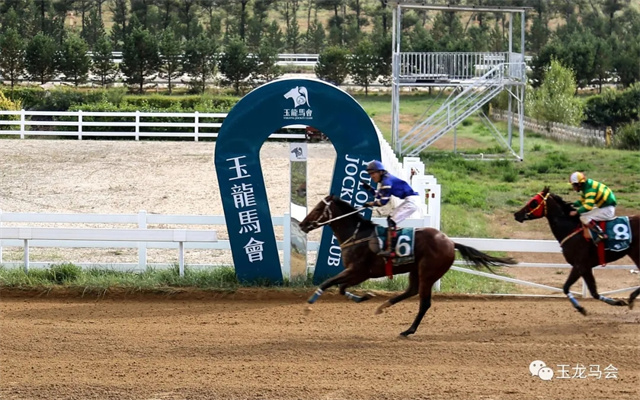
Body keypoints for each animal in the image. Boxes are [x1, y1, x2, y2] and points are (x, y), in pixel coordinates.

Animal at [299, 195, 517, 337]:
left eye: (317, 209)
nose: (302, 224)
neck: (357, 235)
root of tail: (450, 242)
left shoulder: (358, 271)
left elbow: (329, 283)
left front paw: (309, 304)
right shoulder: (356, 273)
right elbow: (341, 288)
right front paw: (364, 297)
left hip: (428, 272)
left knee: (424, 302)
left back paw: (408, 330)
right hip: (415, 270)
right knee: (411, 290)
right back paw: (384, 306)